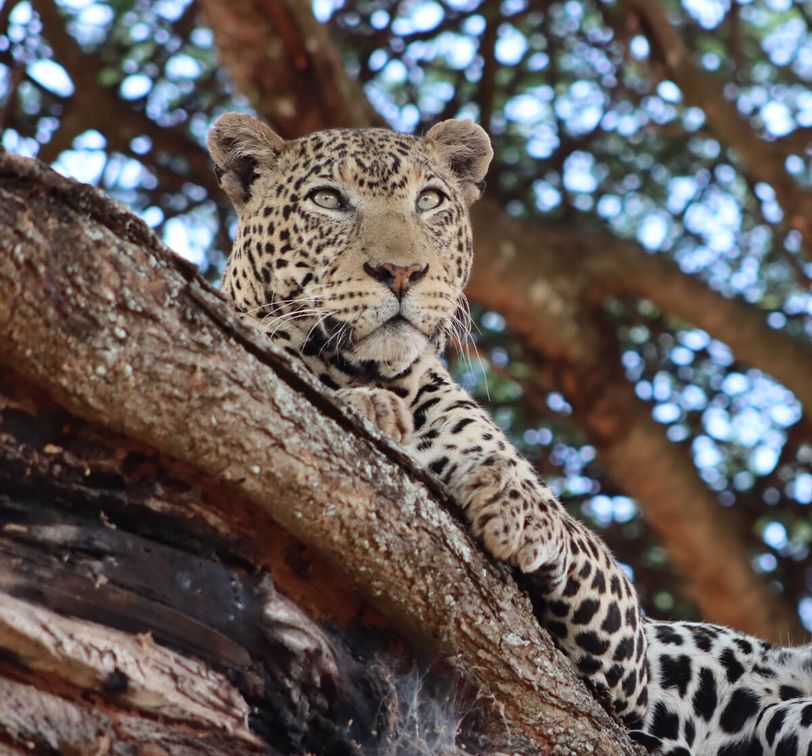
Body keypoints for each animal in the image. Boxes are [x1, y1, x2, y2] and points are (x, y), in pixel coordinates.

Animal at [208, 112, 811, 755]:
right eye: (327, 200)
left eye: (429, 201)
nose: (402, 272)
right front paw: (375, 412)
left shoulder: (633, 661)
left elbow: (573, 534)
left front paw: (514, 507)